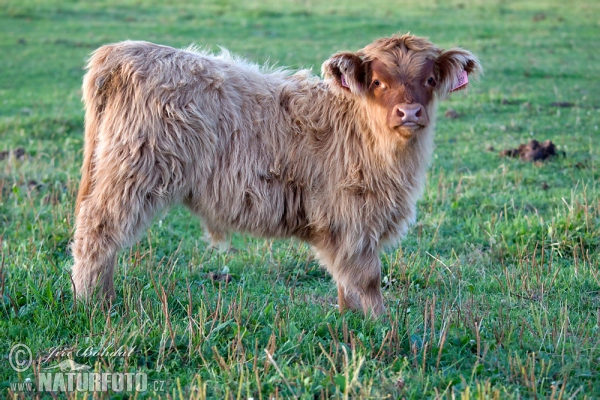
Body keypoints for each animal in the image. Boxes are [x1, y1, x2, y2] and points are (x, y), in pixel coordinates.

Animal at [72, 33, 480, 316]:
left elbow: (346, 282)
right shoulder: (354, 218)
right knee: (97, 234)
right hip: (131, 173)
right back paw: (93, 305)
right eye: (378, 82)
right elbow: (366, 278)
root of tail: (125, 50)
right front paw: (379, 325)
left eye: (429, 80)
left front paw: (350, 320)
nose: (409, 113)